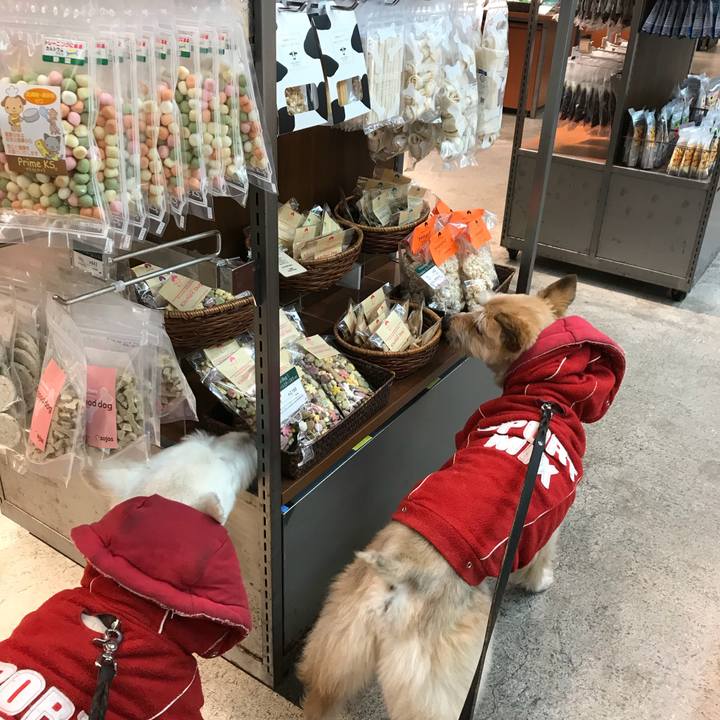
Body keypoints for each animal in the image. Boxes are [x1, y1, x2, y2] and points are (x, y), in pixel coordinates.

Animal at [298, 276, 626, 720]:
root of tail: (400, 577)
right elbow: (542, 558)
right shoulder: (549, 520)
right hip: (443, 681)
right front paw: (538, 582)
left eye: (479, 325)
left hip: (337, 649)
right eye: (477, 311)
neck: (546, 397)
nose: (451, 319)